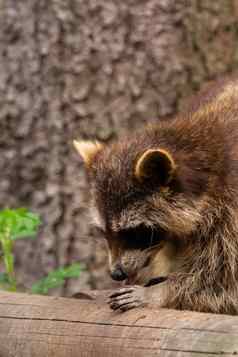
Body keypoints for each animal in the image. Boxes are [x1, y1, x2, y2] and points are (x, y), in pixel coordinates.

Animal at [74, 76, 238, 312]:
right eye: (104, 232)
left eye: (136, 232)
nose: (116, 274)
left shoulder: (231, 210)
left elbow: (222, 281)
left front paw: (158, 293)